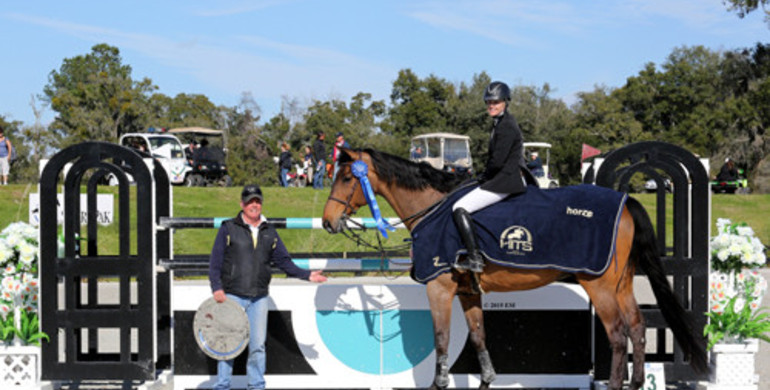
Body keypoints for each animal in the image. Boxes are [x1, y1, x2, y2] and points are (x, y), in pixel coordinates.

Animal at [320, 148, 704, 388]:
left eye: (345, 179)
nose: (327, 222)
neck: (433, 208)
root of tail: (626, 202)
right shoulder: (468, 291)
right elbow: (478, 336)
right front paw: (487, 381)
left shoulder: (439, 288)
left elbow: (442, 340)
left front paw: (438, 384)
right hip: (621, 285)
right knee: (637, 327)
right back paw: (637, 382)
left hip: (600, 286)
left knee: (619, 335)